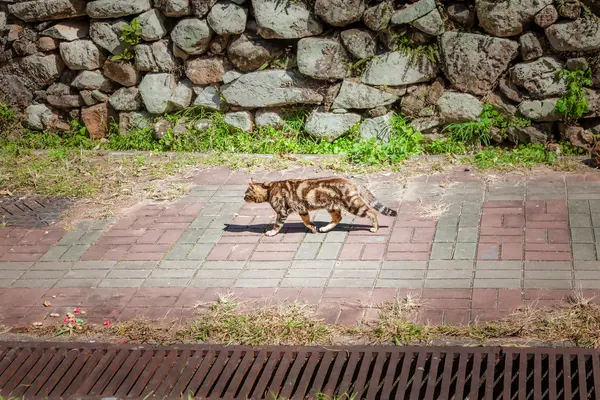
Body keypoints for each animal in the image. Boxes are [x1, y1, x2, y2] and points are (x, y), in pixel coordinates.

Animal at [244, 177, 398, 236]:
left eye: (246, 193)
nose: (242, 197)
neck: (269, 189)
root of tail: (352, 182)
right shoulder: (302, 210)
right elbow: (307, 222)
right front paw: (313, 228)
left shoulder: (282, 212)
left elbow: (277, 225)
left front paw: (271, 232)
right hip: (332, 207)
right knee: (338, 218)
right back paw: (324, 228)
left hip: (352, 205)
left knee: (372, 212)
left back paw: (375, 228)